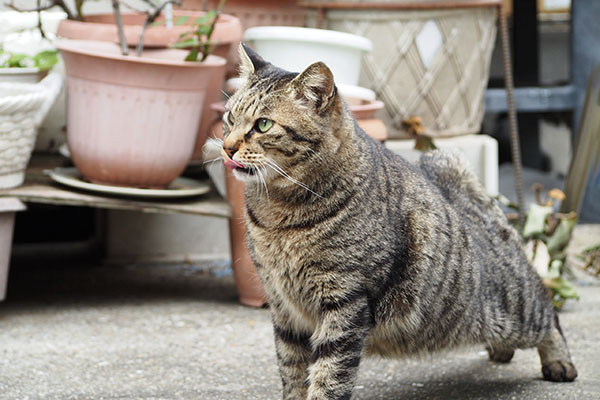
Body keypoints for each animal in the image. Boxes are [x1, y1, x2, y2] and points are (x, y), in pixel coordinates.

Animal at [219, 45, 576, 398]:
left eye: (264, 125)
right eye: (230, 118)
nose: (227, 147)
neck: (278, 212)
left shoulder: (344, 301)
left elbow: (329, 375)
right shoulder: (284, 307)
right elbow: (292, 369)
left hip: (519, 310)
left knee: (549, 313)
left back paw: (558, 361)